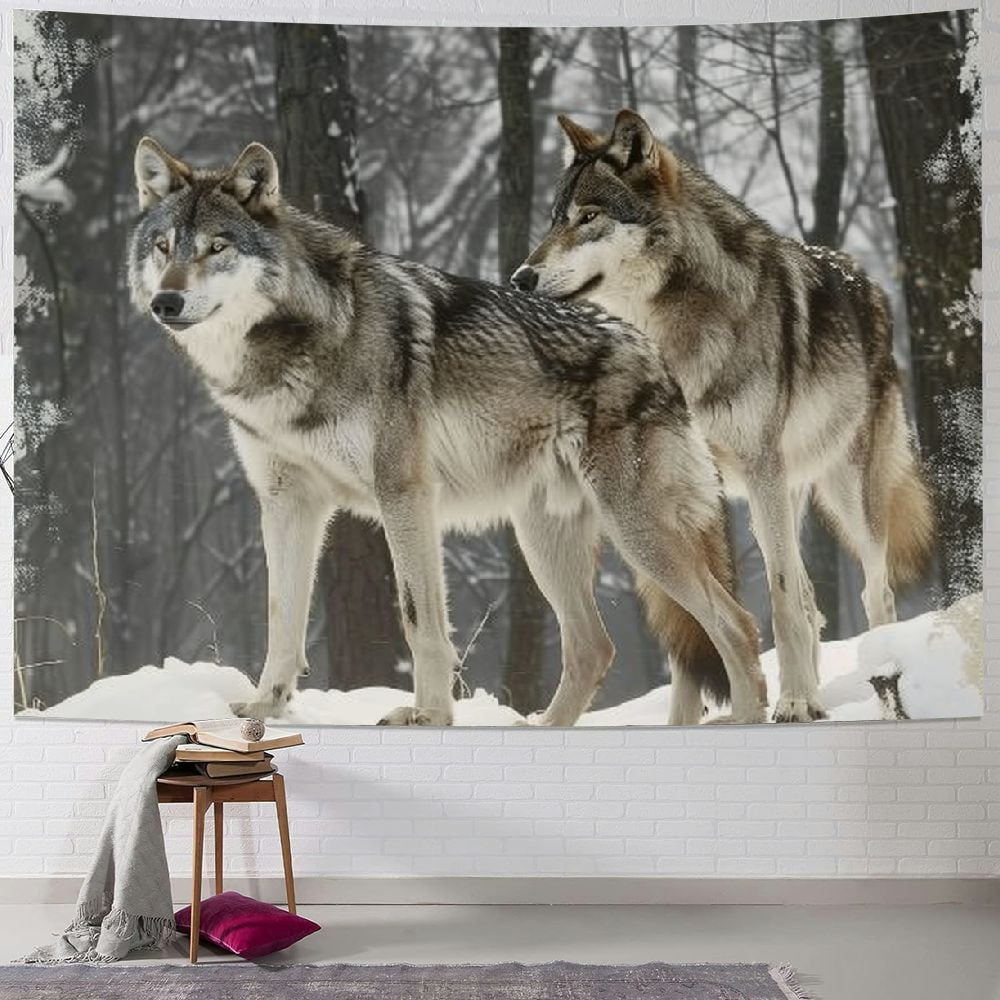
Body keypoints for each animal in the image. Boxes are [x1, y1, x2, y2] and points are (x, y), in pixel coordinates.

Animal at [127, 136, 769, 727]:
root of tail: (653, 352)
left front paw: (429, 715)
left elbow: (419, 618)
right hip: (544, 539)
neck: (298, 343)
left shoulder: (404, 493)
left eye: (217, 246)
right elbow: (282, 615)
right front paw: (266, 707)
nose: (166, 301)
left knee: (735, 624)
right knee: (595, 647)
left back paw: (746, 721)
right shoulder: (286, 502)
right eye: (163, 247)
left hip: (635, 532)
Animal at [514, 109, 934, 723]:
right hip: (785, 492)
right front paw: (687, 721)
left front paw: (794, 701)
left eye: (588, 217)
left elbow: (775, 597)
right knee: (809, 595)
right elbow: (704, 618)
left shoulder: (757, 471)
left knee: (870, 591)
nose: (520, 278)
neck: (676, 333)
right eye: (552, 221)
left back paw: (869, 682)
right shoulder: (691, 482)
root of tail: (870, 282)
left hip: (846, 494)